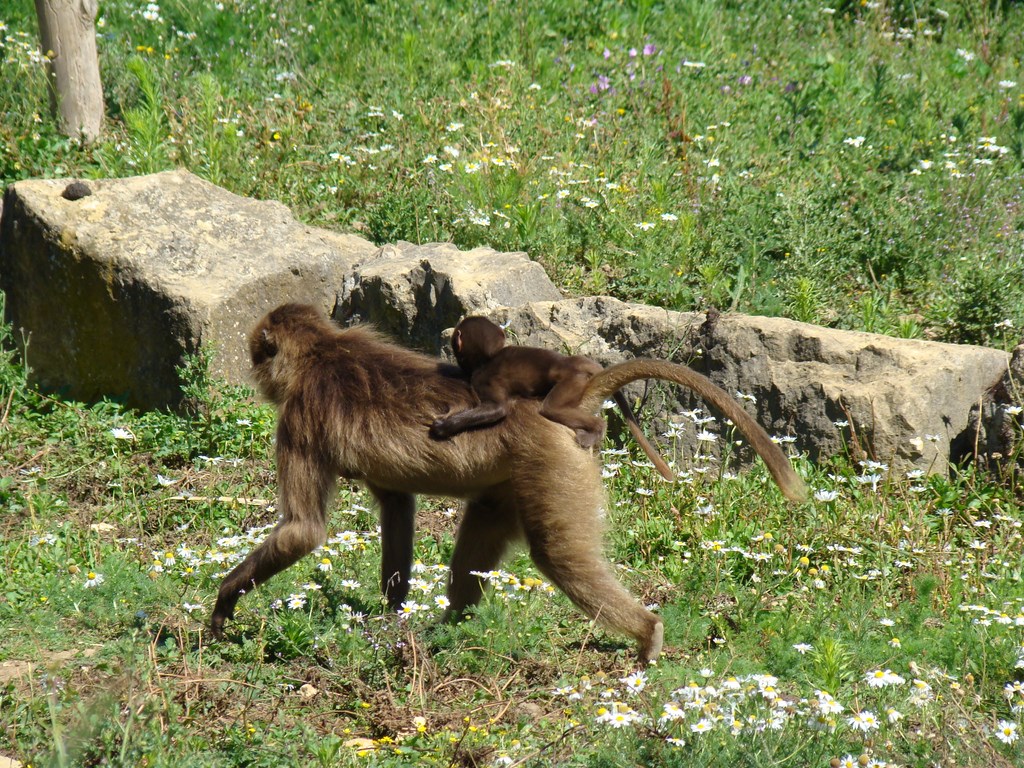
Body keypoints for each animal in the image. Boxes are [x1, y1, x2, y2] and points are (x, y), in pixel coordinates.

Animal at [429, 316, 674, 481]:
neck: (488, 358)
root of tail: (571, 362)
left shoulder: (482, 378)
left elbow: (497, 409)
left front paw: (445, 426)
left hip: (572, 382)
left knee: (553, 408)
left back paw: (595, 429)